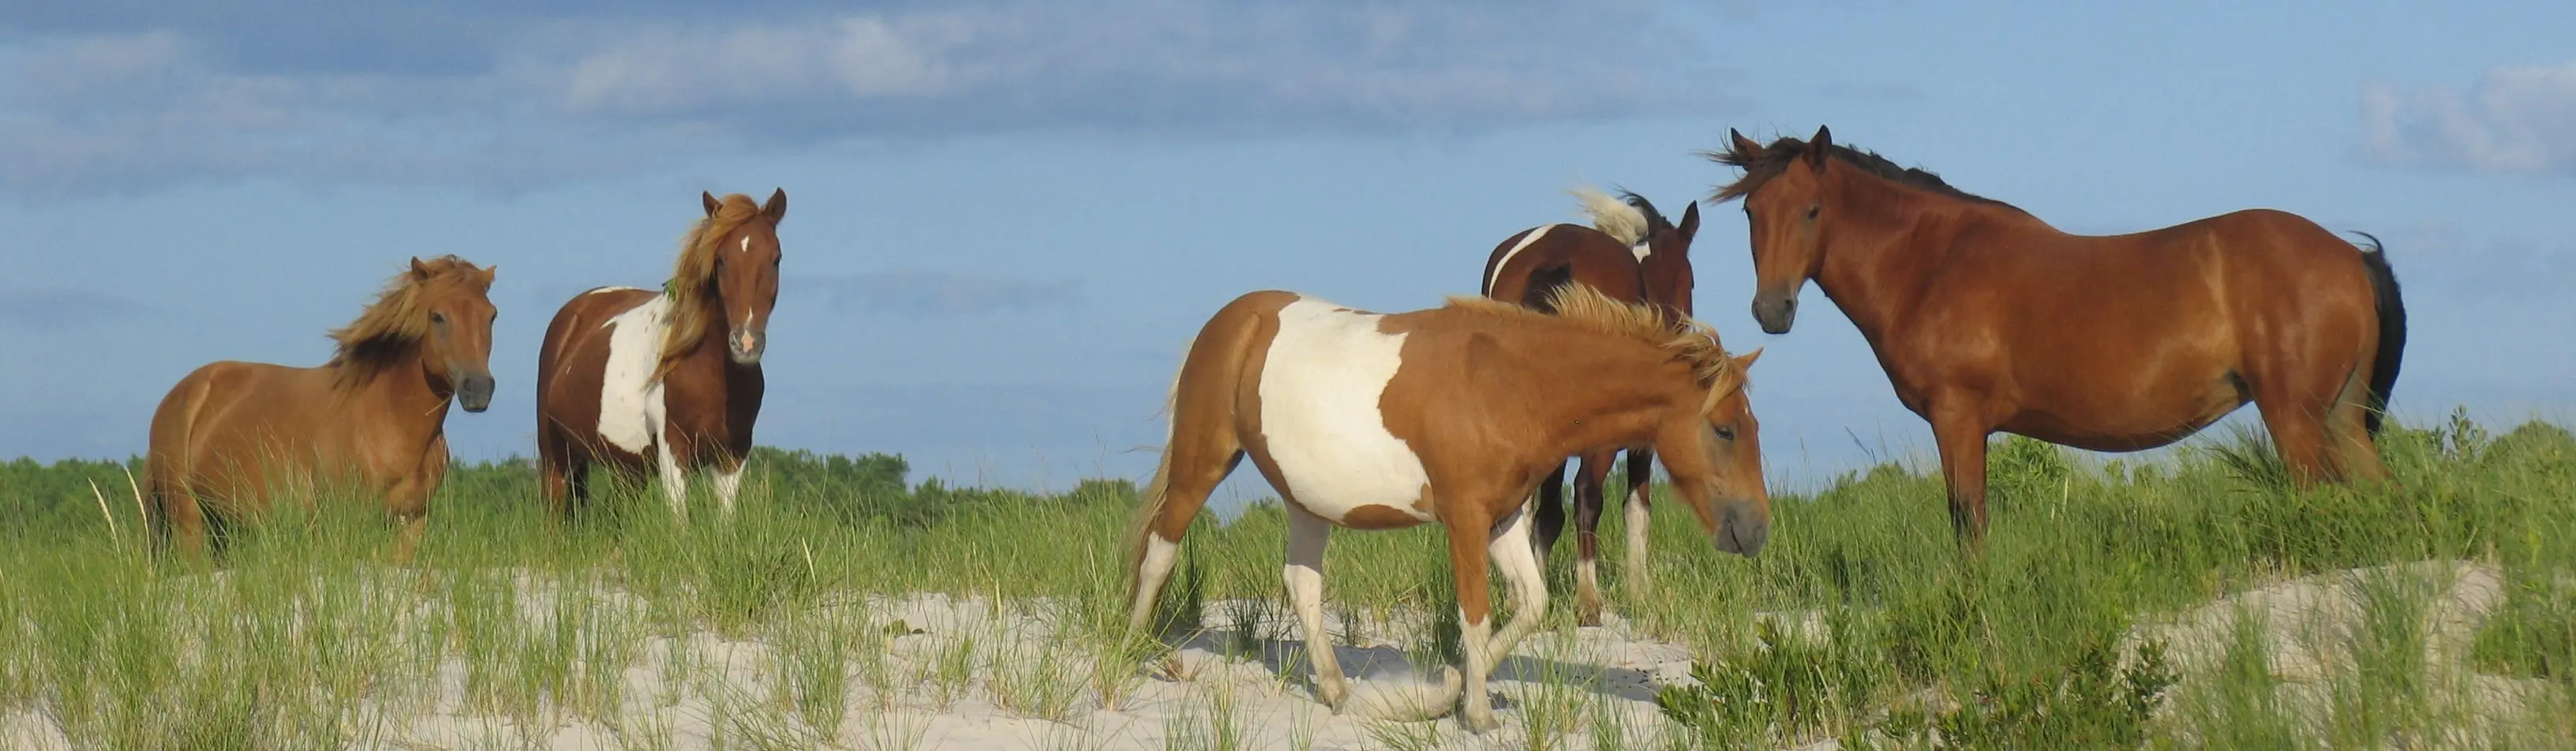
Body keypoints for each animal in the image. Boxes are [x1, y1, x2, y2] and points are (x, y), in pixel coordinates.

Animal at [146, 255, 496, 562]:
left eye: (491, 315)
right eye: (437, 316)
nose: (479, 388)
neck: (390, 420)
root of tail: (180, 395)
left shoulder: (411, 522)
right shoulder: (350, 521)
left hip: (222, 524)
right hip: (189, 521)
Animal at [533, 190, 783, 524]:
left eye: (775, 259)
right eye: (720, 260)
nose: (746, 343)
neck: (709, 375)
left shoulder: (733, 454)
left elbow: (725, 521)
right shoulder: (673, 450)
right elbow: (680, 521)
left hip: (627, 469)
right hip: (556, 457)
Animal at [1118, 284, 1762, 738]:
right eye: (1725, 429)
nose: (1755, 531)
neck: (1510, 385)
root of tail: (1229, 322)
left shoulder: (1503, 518)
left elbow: (1530, 605)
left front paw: (1443, 691)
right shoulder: (1465, 520)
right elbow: (1475, 613)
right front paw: (1475, 714)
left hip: (1307, 501)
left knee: (1302, 583)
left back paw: (1337, 691)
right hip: (1201, 465)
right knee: (1160, 555)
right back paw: (1129, 653)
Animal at [1484, 186, 1700, 627]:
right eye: (1691, 280)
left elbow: (1546, 515)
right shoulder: (1640, 443)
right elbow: (1636, 508)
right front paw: (1637, 592)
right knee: (1587, 496)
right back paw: (1588, 600)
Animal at [1700, 126, 2401, 544]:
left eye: (1812, 210)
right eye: (1752, 211)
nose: (1772, 309)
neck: (1932, 262)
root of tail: (2350, 256)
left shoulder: (1958, 419)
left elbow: (1969, 525)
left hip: (2295, 419)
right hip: (2341, 417)